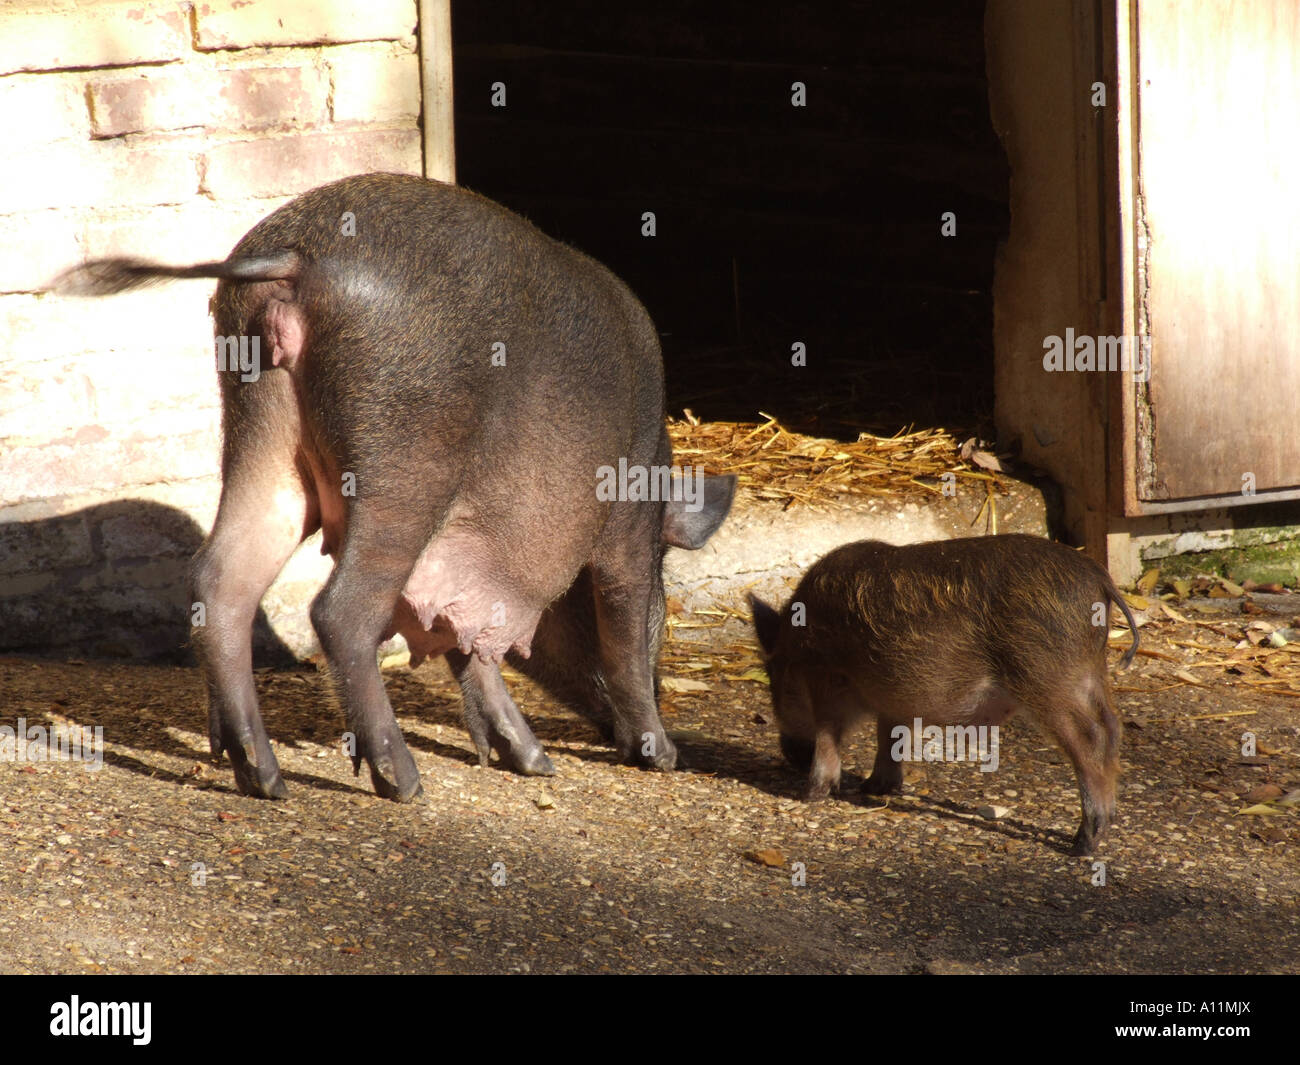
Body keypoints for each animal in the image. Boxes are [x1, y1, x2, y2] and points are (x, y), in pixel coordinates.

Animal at [52, 172, 735, 802]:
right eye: (666, 598)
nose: (662, 740)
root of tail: (298, 257)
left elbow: (469, 649)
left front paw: (535, 764)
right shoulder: (626, 521)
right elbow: (618, 623)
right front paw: (661, 756)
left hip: (258, 423)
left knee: (218, 579)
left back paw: (262, 778)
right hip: (404, 460)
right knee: (339, 610)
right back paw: (402, 783)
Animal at [749, 534, 1138, 854]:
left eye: (773, 675)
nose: (791, 755)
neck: (802, 640)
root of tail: (1099, 577)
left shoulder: (829, 679)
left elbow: (830, 733)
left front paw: (810, 795)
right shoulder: (892, 696)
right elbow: (889, 735)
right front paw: (875, 789)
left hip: (1046, 677)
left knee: (1090, 739)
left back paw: (1082, 844)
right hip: (1090, 673)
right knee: (1113, 729)